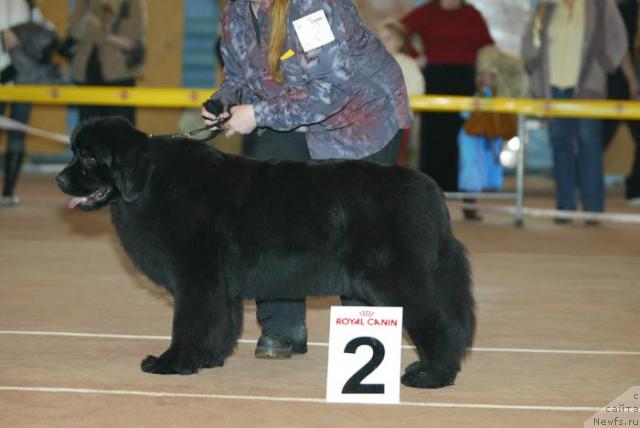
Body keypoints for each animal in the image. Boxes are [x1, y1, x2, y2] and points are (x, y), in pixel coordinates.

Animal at [56, 116, 476, 388]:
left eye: (90, 157)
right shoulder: (217, 285)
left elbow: (187, 323)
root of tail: (429, 190)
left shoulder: (196, 278)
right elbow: (219, 323)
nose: (60, 178)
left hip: (396, 279)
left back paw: (432, 375)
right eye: (75, 152)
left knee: (438, 323)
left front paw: (172, 363)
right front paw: (207, 360)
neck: (152, 182)